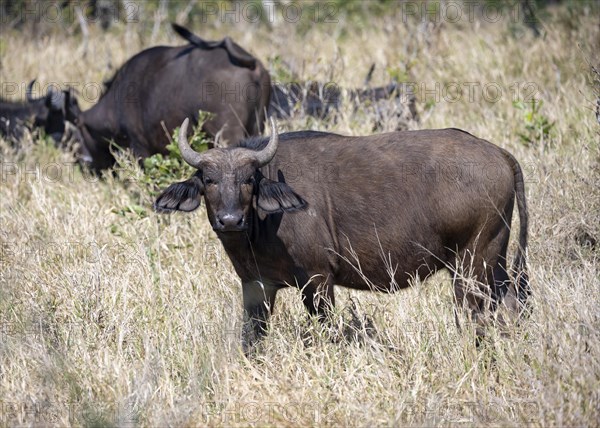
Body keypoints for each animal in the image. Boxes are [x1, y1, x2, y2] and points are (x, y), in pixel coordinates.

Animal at [67, 23, 270, 171]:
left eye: (77, 136)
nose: (81, 162)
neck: (115, 102)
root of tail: (247, 60)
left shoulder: (139, 148)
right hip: (257, 126)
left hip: (227, 134)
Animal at [155, 118, 528, 352]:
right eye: (209, 180)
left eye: (249, 179)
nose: (230, 220)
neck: (261, 225)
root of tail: (497, 153)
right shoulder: (256, 285)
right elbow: (252, 340)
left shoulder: (318, 280)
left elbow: (327, 331)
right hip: (494, 262)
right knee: (510, 307)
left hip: (471, 265)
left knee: (476, 316)